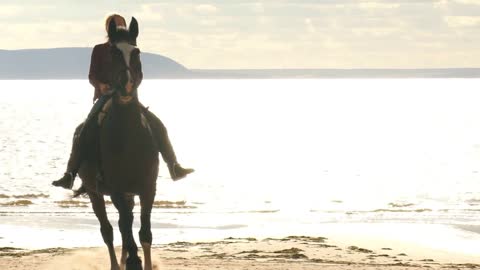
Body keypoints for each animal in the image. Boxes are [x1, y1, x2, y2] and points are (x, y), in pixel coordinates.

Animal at [75, 17, 158, 270]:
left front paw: (143, 261)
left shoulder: (148, 187)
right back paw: (117, 262)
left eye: (136, 51)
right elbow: (125, 227)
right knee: (109, 230)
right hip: (95, 193)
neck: (128, 137)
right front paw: (133, 260)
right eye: (113, 53)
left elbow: (144, 232)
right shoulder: (117, 190)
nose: (126, 85)